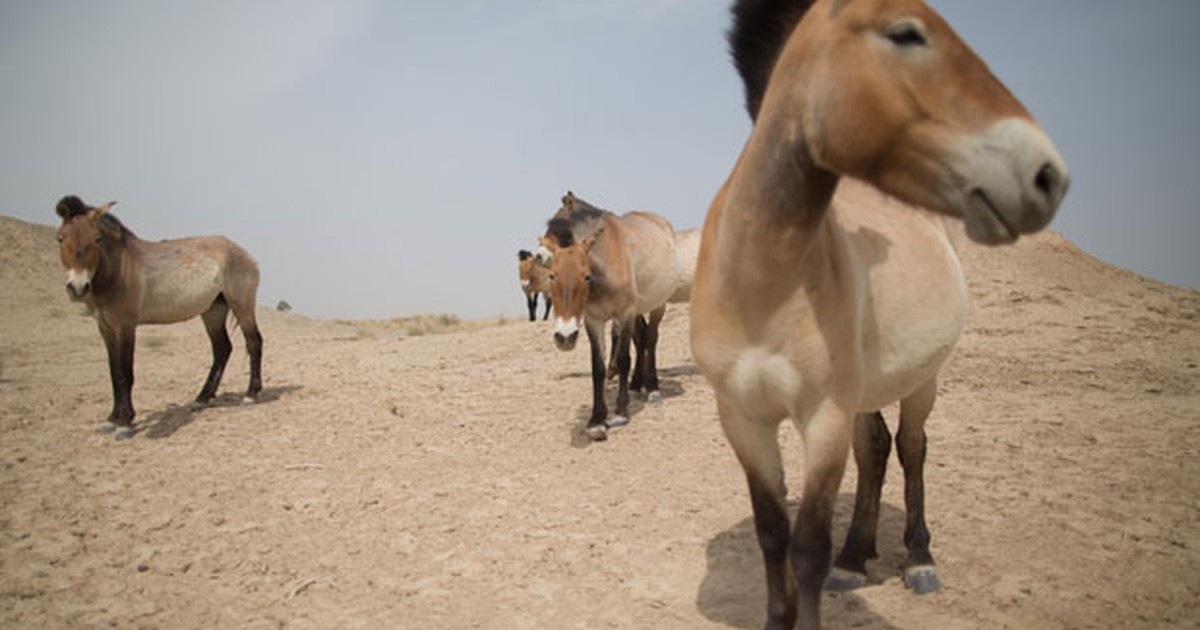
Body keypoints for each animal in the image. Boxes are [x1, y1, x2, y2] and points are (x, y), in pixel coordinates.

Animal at [54, 194, 265, 439]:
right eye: (60, 238)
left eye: (97, 239)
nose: (78, 288)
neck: (118, 270)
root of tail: (246, 254)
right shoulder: (105, 327)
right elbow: (114, 372)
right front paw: (111, 419)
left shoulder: (126, 326)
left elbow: (125, 372)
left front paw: (125, 423)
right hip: (212, 311)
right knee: (222, 349)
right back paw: (202, 399)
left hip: (242, 305)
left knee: (253, 342)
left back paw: (250, 395)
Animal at [691, 2, 1075, 624]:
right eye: (906, 33)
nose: (1047, 175)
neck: (761, 283)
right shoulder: (742, 419)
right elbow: (773, 534)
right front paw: (783, 611)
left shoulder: (822, 417)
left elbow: (807, 547)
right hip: (863, 395)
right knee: (873, 452)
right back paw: (856, 556)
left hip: (922, 382)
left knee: (913, 448)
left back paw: (918, 559)